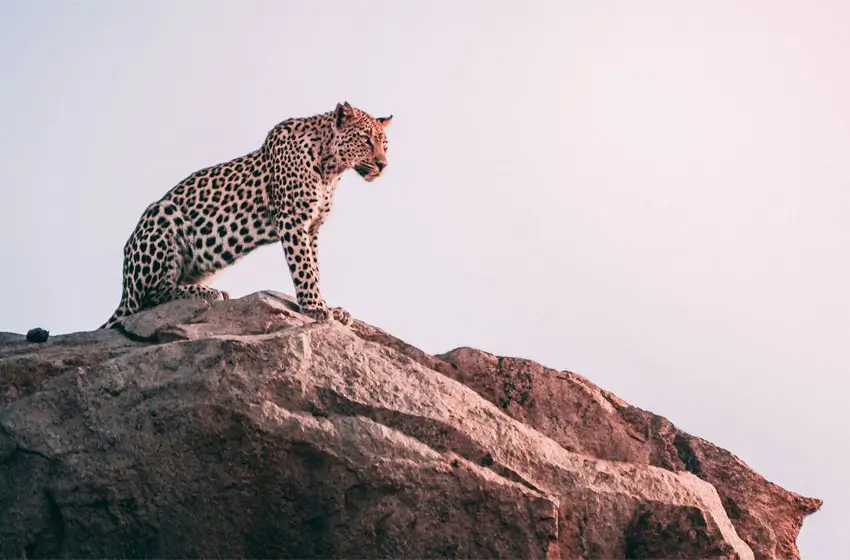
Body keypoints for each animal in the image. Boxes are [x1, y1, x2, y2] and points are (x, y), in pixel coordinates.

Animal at [99, 102, 392, 329]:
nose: (383, 165)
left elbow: (314, 267)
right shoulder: (293, 220)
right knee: (149, 298)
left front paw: (327, 306)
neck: (331, 168)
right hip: (162, 216)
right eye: (366, 140)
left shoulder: (312, 228)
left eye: (385, 145)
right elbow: (304, 267)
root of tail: (124, 291)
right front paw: (315, 307)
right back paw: (209, 293)